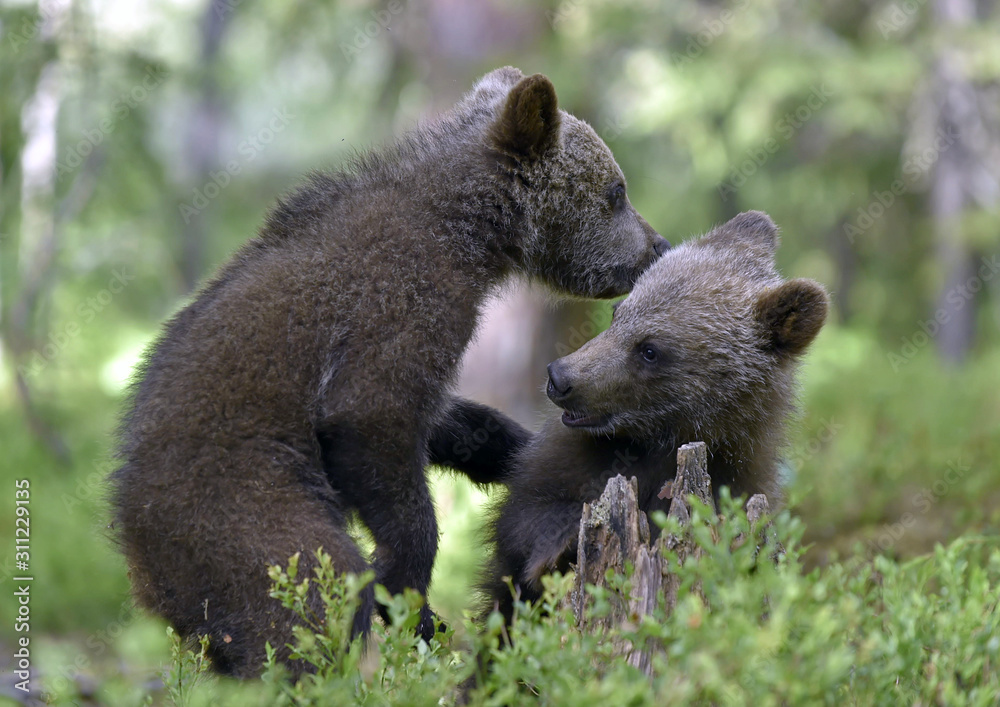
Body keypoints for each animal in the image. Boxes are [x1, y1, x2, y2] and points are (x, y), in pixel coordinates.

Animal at [109, 66, 669, 678]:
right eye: (616, 191)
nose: (657, 244)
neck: (470, 235)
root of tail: (138, 558)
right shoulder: (400, 304)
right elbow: (374, 422)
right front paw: (410, 599)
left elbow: (446, 421)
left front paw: (514, 450)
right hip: (238, 504)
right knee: (304, 599)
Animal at [474, 211, 828, 625]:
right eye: (618, 313)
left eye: (649, 350)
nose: (560, 378)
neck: (664, 439)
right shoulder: (565, 461)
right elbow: (522, 521)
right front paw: (560, 544)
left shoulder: (741, 477)